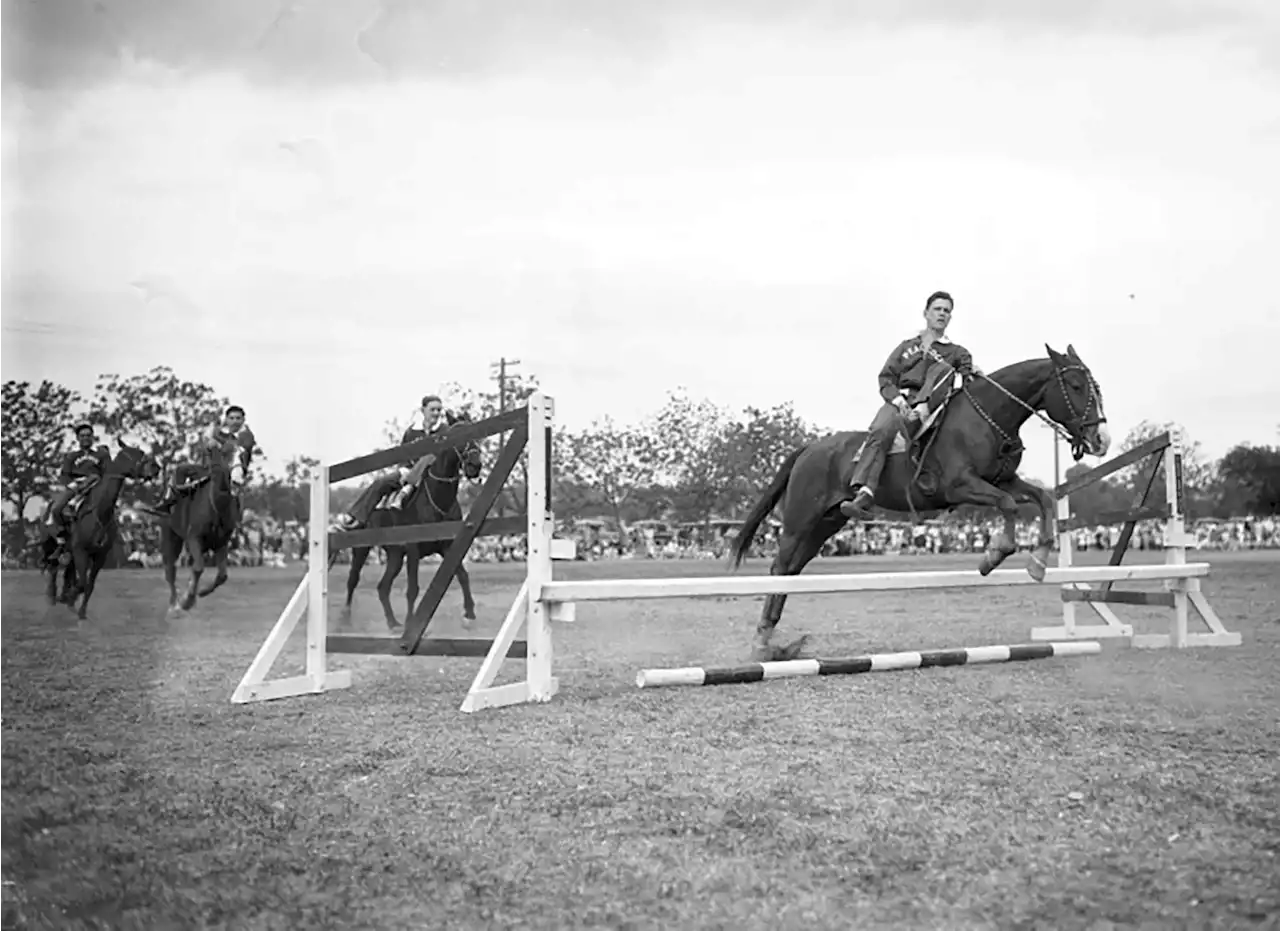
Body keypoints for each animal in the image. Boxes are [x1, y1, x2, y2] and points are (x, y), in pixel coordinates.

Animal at [40, 443, 161, 619]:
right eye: (133, 454)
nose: (156, 468)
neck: (99, 512)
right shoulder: (81, 551)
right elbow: (82, 583)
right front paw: (70, 597)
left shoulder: (99, 555)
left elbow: (88, 585)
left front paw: (80, 609)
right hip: (50, 544)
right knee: (53, 566)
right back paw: (52, 596)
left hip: (71, 551)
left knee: (67, 571)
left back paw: (63, 597)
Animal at [330, 417, 483, 630]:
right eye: (459, 436)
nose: (475, 465)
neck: (436, 498)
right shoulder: (413, 549)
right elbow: (413, 589)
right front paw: (412, 622)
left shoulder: (448, 546)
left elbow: (462, 575)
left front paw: (469, 613)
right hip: (361, 549)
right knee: (353, 579)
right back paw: (346, 617)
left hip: (395, 555)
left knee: (383, 587)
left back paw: (393, 622)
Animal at [732, 348, 1111, 660]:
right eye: (1076, 385)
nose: (1101, 439)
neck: (986, 417)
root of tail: (809, 448)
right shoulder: (961, 486)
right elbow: (1008, 506)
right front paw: (994, 554)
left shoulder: (1002, 481)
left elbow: (1042, 499)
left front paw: (1038, 561)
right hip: (800, 520)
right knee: (779, 568)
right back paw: (762, 644)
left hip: (824, 524)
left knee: (791, 571)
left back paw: (774, 643)